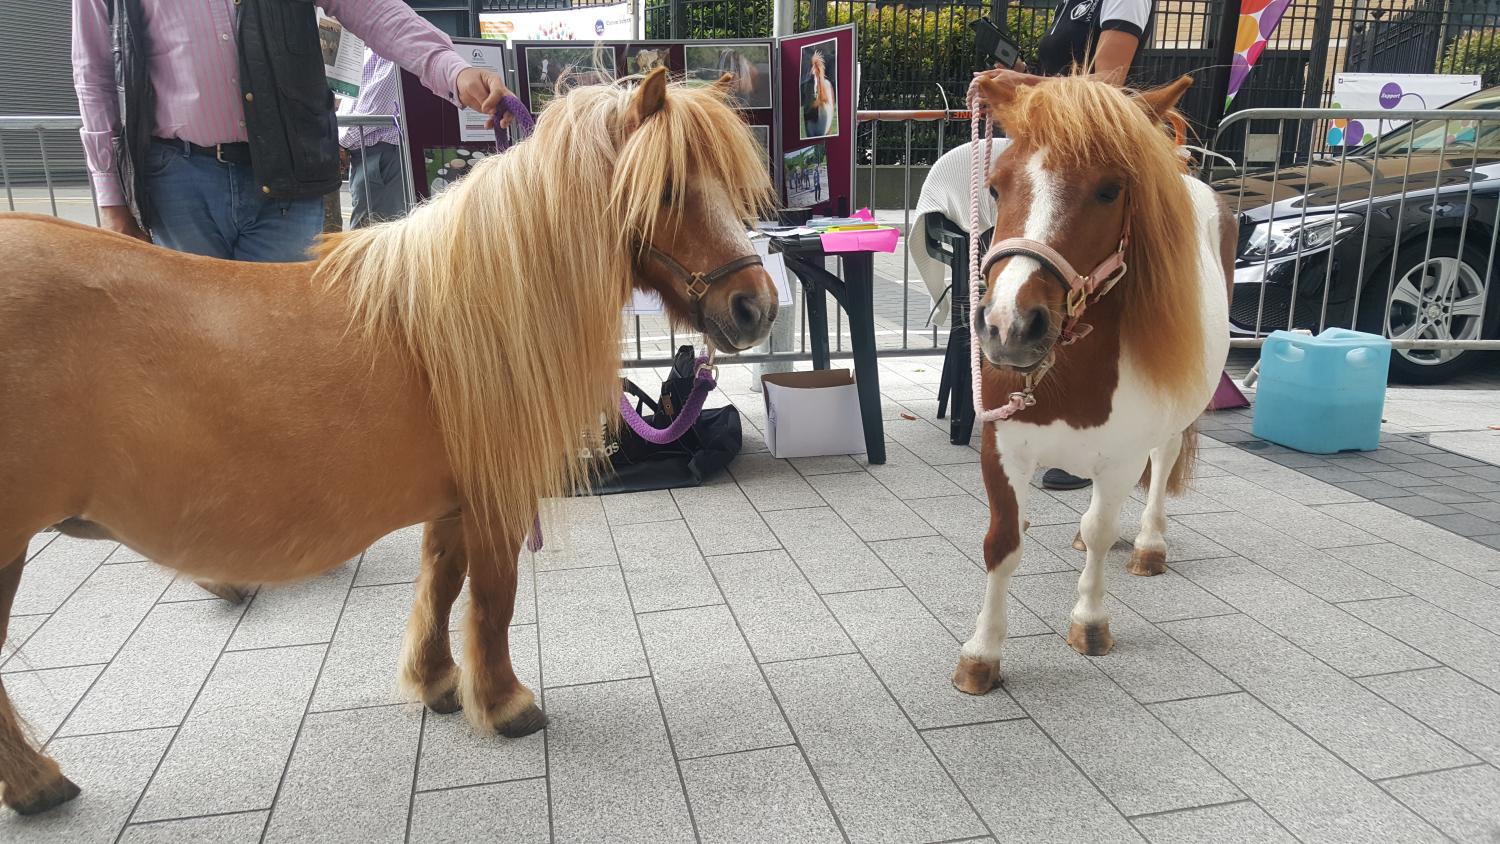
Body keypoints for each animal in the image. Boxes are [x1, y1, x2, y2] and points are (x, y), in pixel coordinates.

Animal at [0, 67, 777, 815]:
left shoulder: (454, 498)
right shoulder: (493, 499)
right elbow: (493, 596)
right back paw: (38, 783)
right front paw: (504, 703)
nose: (757, 308)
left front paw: (438, 684)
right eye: (666, 189)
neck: (467, 316)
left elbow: (441, 583)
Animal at [950, 73, 1235, 695]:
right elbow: (1003, 543)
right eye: (995, 187)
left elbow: (1104, 529)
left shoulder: (1121, 458)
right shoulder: (1001, 447)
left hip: (1175, 420)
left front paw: (1090, 622)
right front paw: (982, 654)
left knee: (1162, 464)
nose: (1009, 326)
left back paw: (1150, 544)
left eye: (1109, 190)